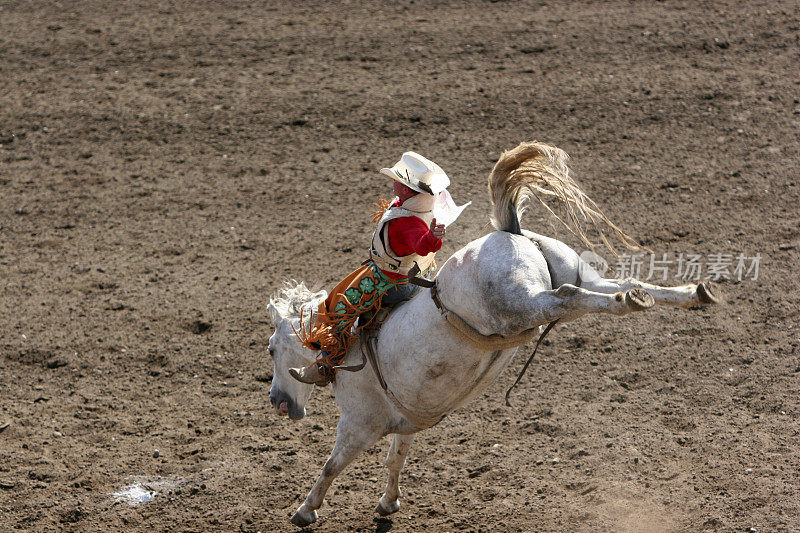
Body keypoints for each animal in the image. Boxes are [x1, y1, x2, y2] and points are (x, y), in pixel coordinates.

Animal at [268, 142, 720, 528]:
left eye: (272, 349)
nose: (277, 401)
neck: (344, 344)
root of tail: (512, 231)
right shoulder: (406, 420)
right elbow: (396, 458)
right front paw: (388, 502)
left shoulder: (358, 424)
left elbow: (331, 465)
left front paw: (305, 510)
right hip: (576, 272)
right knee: (616, 284)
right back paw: (682, 294)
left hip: (523, 302)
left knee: (566, 297)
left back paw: (638, 302)